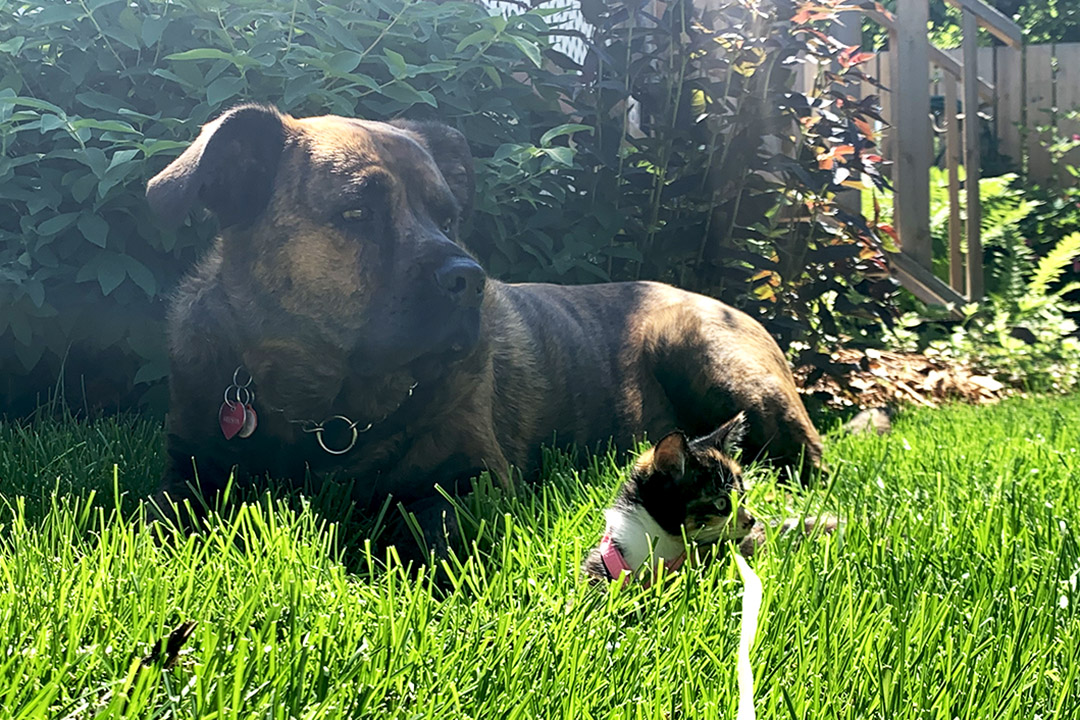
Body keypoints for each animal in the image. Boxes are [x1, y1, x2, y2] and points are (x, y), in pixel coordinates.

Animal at [141, 105, 816, 557]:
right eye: (357, 212)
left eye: (448, 217)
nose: (471, 279)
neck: (324, 412)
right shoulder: (189, 468)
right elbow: (160, 516)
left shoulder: (471, 479)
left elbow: (431, 532)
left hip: (711, 357)